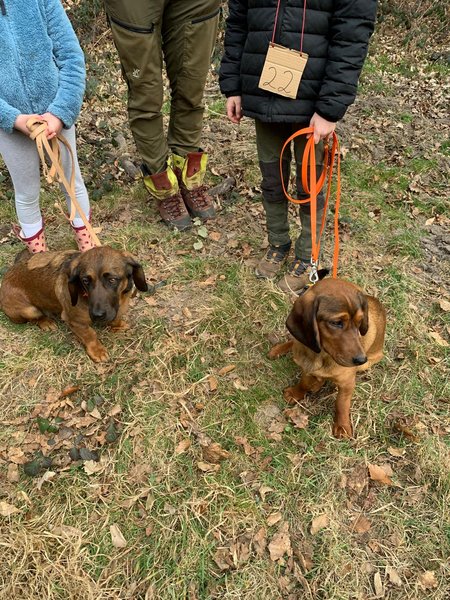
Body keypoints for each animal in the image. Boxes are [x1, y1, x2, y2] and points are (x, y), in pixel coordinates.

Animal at [0, 246, 148, 362]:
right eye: (85, 281)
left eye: (112, 280)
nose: (97, 315)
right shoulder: (76, 322)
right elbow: (90, 335)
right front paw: (97, 351)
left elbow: (116, 318)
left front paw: (118, 325)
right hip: (29, 310)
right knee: (34, 318)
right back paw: (46, 322)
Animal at [269, 277, 386, 438]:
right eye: (336, 323)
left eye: (359, 322)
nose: (361, 359)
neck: (322, 354)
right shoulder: (307, 366)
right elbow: (303, 382)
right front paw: (296, 393)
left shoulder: (347, 383)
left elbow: (342, 403)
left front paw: (342, 426)